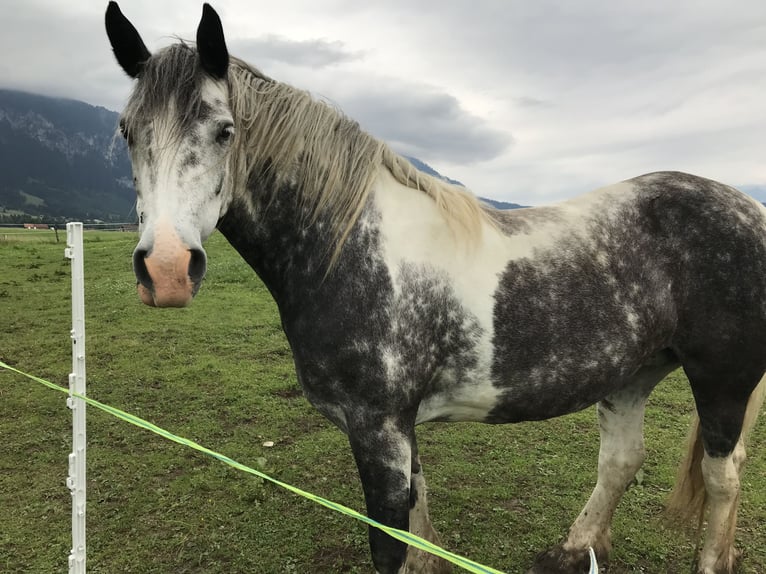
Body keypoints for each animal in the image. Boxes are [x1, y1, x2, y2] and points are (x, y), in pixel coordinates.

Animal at [106, 2, 766, 572]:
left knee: (722, 478)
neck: (349, 248)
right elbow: (418, 529)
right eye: (127, 131)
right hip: (631, 374)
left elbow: (391, 544)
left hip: (722, 382)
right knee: (622, 460)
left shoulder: (378, 429)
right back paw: (572, 551)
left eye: (224, 130)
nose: (167, 269)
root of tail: (750, 211)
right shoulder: (398, 430)